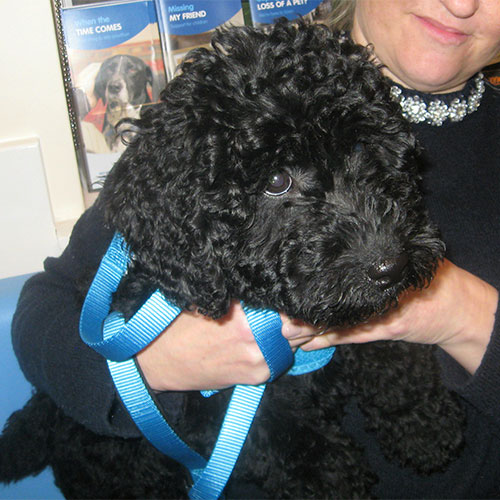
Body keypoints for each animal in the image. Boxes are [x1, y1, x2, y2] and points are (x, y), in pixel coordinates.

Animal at [1, 21, 466, 498]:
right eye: (277, 180)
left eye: (358, 148)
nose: (390, 266)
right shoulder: (218, 411)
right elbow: (291, 443)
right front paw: (341, 478)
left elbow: (385, 346)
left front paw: (420, 420)